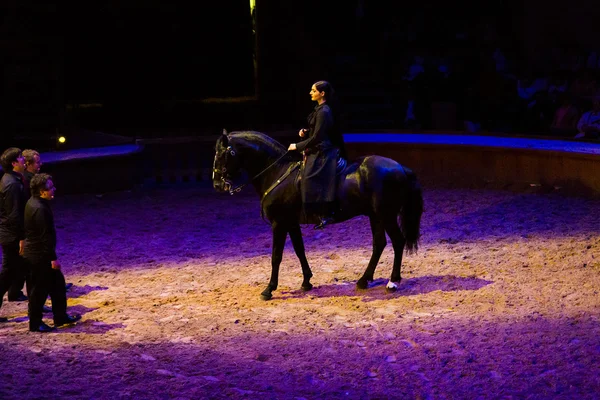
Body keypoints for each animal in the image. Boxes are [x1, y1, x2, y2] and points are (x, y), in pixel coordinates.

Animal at [213, 130, 424, 298]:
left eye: (222, 155)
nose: (217, 185)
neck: (278, 174)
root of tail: (399, 167)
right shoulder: (291, 223)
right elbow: (299, 250)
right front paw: (306, 281)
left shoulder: (279, 223)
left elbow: (276, 256)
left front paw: (269, 289)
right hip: (376, 216)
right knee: (379, 244)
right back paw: (364, 280)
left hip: (386, 215)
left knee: (398, 241)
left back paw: (393, 282)